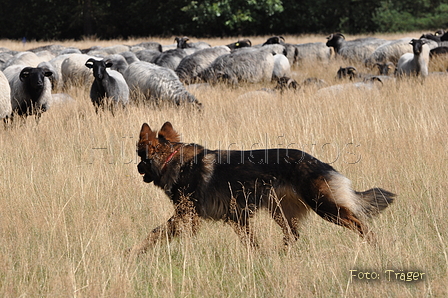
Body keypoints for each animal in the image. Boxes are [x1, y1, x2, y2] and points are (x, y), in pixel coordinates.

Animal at [130, 122, 396, 255]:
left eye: (140, 156)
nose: (137, 168)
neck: (171, 159)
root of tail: (317, 161)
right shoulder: (238, 218)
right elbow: (251, 243)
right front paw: (258, 257)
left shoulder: (187, 217)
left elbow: (154, 233)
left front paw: (133, 252)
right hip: (279, 211)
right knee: (292, 235)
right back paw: (280, 255)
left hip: (324, 207)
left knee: (360, 224)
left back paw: (375, 247)